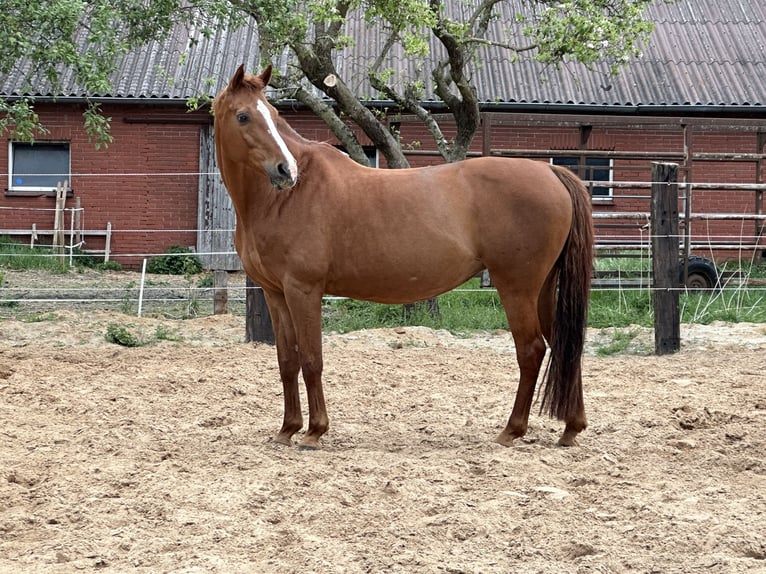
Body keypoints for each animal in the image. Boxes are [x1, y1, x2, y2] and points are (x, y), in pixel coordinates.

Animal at [213, 65, 593, 450]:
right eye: (244, 116)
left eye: (274, 116)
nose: (286, 171)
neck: (282, 200)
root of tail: (550, 171)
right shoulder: (276, 292)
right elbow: (287, 361)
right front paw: (287, 428)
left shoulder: (303, 290)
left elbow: (311, 359)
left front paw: (314, 431)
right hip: (543, 288)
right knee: (564, 345)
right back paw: (570, 428)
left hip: (517, 287)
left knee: (531, 350)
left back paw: (512, 430)